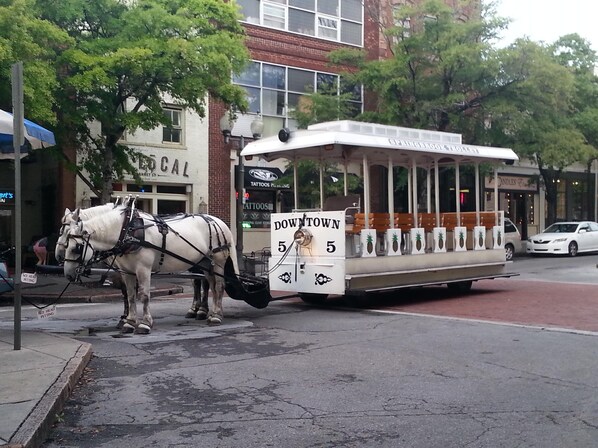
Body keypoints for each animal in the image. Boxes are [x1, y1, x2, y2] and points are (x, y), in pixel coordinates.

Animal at [61, 206, 239, 332]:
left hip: (218, 261)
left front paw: (145, 323)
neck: (127, 231)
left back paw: (215, 316)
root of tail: (219, 222)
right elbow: (130, 296)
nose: (68, 275)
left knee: (219, 286)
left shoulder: (143, 269)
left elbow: (144, 295)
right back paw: (212, 312)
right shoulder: (126, 272)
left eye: (76, 247)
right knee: (210, 285)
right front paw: (129, 322)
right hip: (206, 263)